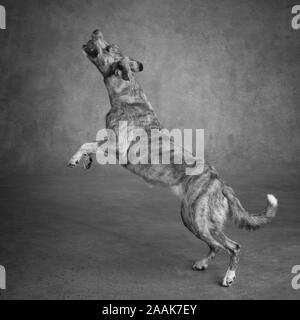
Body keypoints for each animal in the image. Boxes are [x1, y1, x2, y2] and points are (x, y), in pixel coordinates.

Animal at [68, 30, 278, 286]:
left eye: (108, 48)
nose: (96, 30)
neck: (127, 94)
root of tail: (219, 182)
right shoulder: (109, 142)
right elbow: (90, 144)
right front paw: (84, 160)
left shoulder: (119, 148)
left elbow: (89, 144)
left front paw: (76, 158)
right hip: (198, 219)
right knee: (217, 246)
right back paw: (203, 263)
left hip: (195, 217)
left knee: (232, 246)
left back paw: (229, 276)